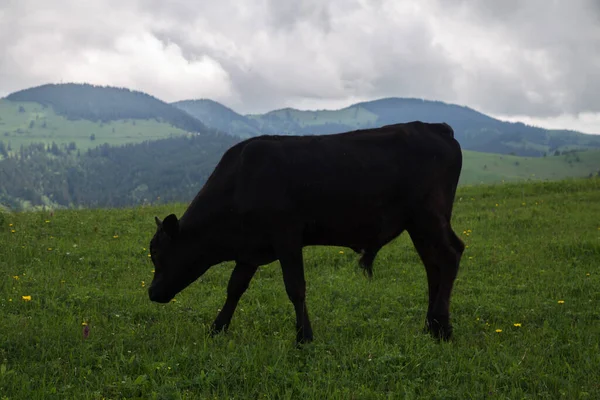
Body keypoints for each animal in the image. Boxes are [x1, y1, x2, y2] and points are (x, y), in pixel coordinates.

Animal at [149, 122, 464, 344]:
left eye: (158, 255)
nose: (151, 292)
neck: (239, 181)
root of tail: (435, 127)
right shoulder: (251, 248)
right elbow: (235, 287)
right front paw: (217, 328)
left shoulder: (286, 236)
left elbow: (295, 287)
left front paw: (304, 338)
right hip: (419, 225)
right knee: (432, 265)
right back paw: (432, 326)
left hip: (428, 217)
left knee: (450, 255)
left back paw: (442, 328)